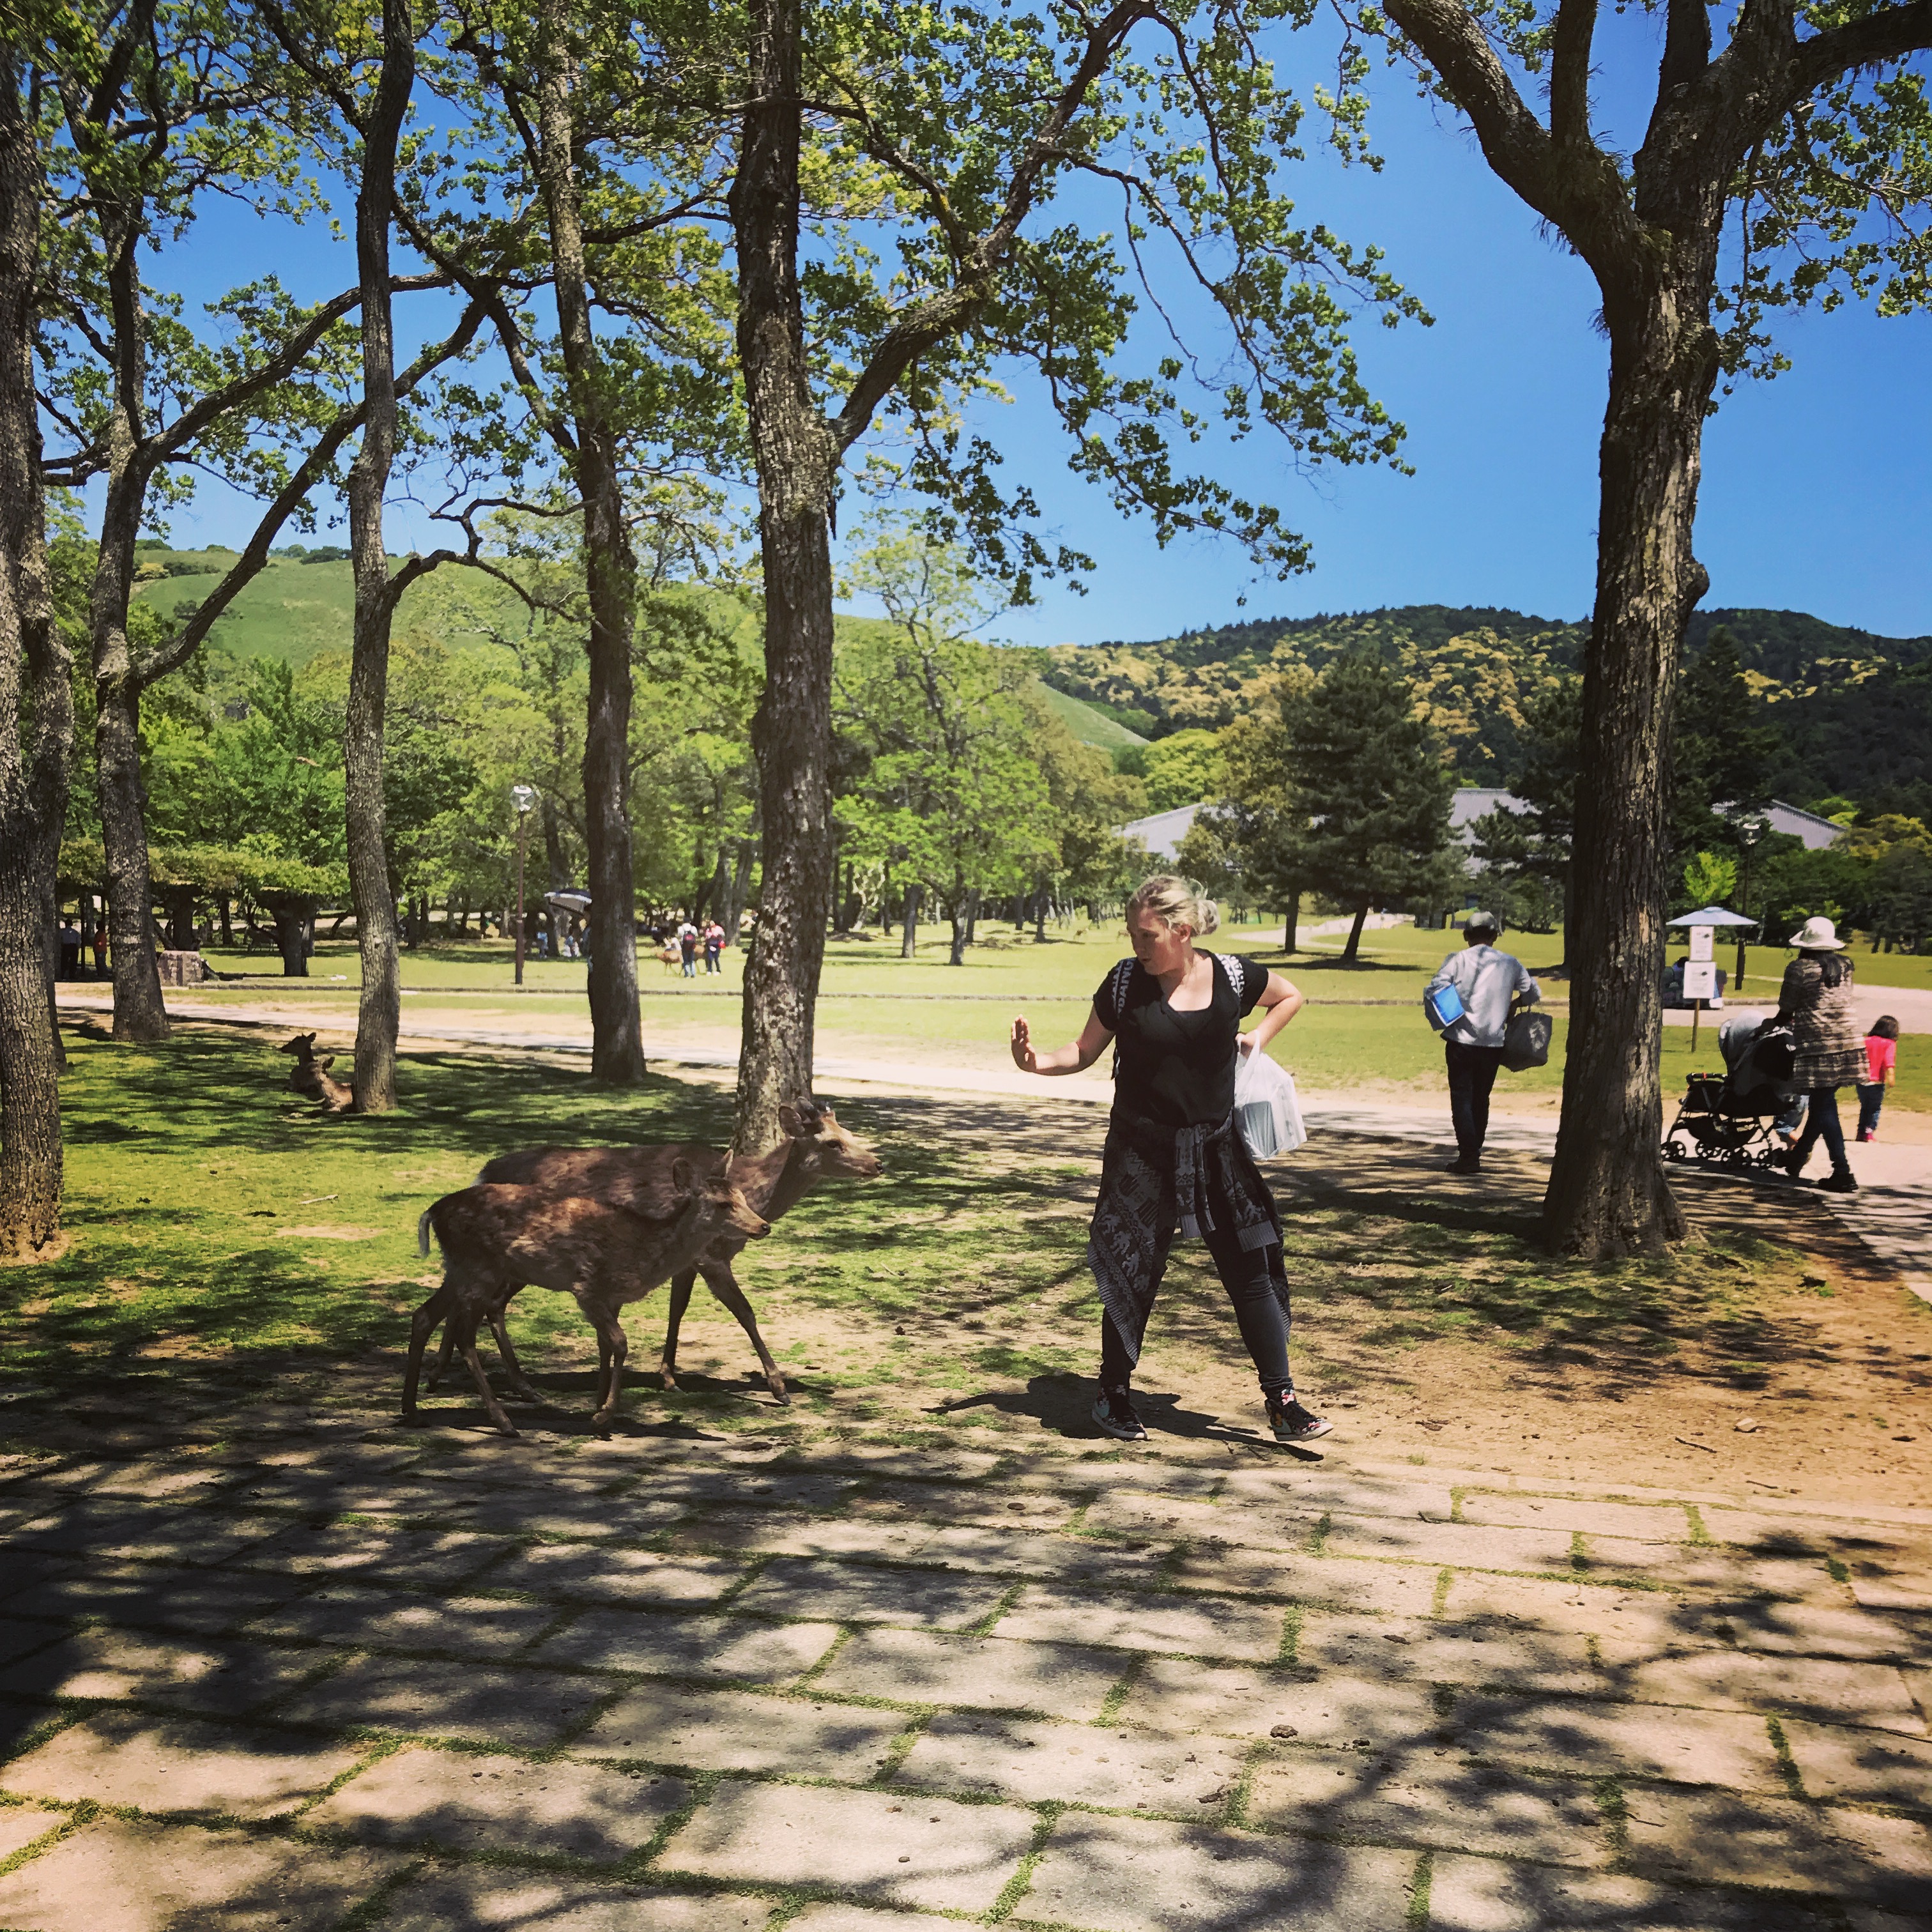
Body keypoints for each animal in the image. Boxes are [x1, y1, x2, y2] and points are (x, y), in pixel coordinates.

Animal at [407, 1162, 770, 1437]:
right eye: (724, 1204)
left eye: (742, 1196)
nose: (764, 1226)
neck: (645, 1251)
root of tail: (432, 1211)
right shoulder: (587, 1287)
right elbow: (620, 1342)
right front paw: (602, 1416)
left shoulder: (612, 1297)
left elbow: (605, 1347)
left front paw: (597, 1408)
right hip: (478, 1268)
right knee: (465, 1333)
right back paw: (504, 1421)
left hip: (461, 1269)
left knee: (424, 1315)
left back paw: (412, 1411)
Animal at [429, 1099, 882, 1407]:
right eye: (833, 1142)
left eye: (852, 1135)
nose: (877, 1164)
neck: (754, 1193)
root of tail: (483, 1171)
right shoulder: (712, 1255)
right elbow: (745, 1311)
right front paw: (779, 1386)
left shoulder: (687, 1259)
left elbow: (676, 1310)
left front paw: (668, 1377)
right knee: (484, 1304)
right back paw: (490, 1382)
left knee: (479, 1303)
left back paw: (462, 1378)